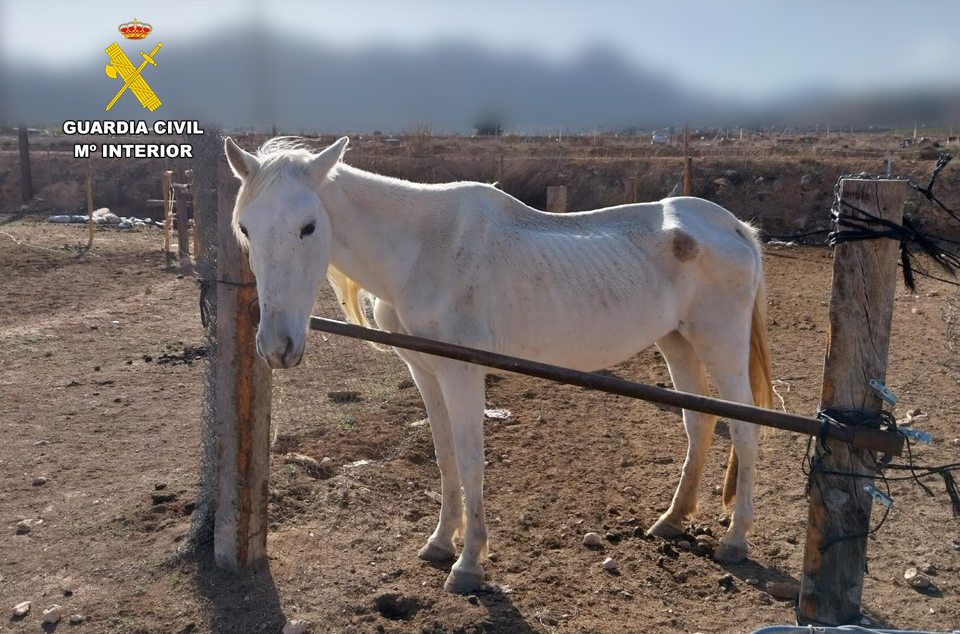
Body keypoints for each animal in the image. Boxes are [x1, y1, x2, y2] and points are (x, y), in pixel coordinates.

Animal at [224, 135, 774, 593]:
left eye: (308, 226)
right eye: (246, 227)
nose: (276, 346)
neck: (423, 251)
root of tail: (733, 227)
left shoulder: (462, 373)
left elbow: (470, 461)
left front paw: (468, 564)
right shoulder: (426, 373)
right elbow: (445, 456)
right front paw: (440, 542)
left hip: (720, 348)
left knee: (744, 431)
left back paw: (736, 540)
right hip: (677, 343)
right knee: (699, 423)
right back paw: (672, 521)